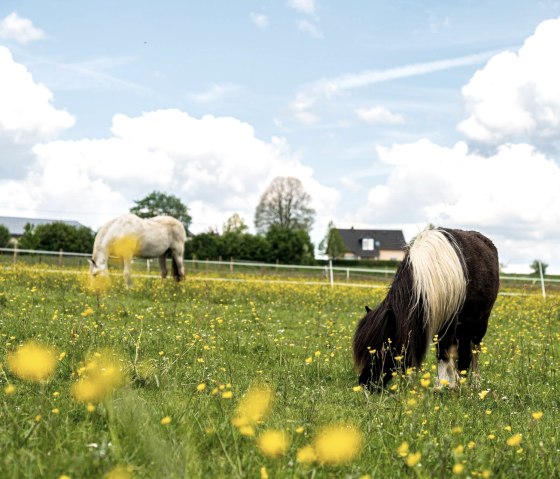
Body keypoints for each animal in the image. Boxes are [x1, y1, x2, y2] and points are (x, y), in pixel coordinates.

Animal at [352, 227, 500, 388]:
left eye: (383, 348)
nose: (365, 384)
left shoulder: (449, 322)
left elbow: (443, 353)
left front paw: (441, 386)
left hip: (480, 322)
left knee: (474, 349)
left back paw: (474, 383)